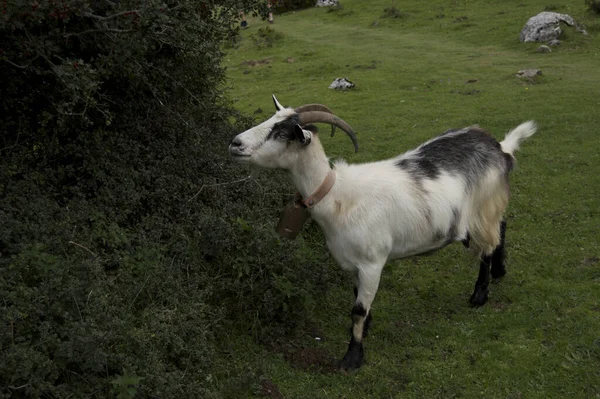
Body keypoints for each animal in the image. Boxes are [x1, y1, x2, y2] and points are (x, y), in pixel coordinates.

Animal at [230, 96, 540, 372]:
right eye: (271, 119)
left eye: (282, 132)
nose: (235, 143)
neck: (338, 196)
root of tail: (500, 147)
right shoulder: (353, 264)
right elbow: (358, 300)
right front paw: (366, 328)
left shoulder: (372, 263)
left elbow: (357, 309)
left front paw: (352, 358)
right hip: (489, 207)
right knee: (502, 228)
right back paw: (499, 271)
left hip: (483, 207)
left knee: (487, 245)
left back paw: (479, 294)